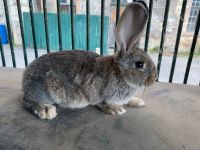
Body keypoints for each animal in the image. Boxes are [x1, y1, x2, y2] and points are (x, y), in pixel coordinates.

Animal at [20, 1, 158, 119]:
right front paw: (116, 109)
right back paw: (45, 110)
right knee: (26, 101)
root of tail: (25, 78)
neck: (120, 72)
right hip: (45, 91)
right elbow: (103, 103)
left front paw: (137, 101)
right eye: (139, 64)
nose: (154, 78)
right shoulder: (100, 95)